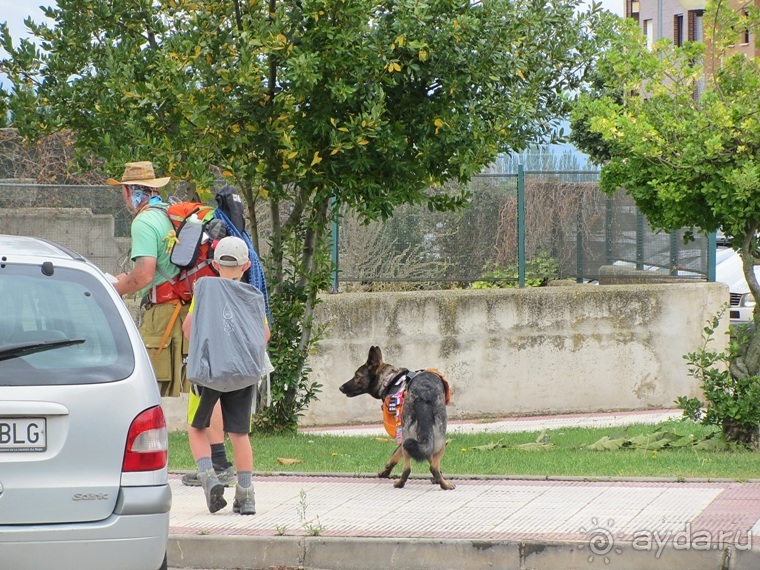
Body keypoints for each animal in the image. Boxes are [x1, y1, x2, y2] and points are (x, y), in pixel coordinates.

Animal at [340, 344, 454, 486]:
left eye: (357, 376)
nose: (340, 387)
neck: (388, 379)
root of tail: (424, 391)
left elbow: (395, 454)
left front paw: (385, 472)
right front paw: (437, 477)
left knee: (409, 467)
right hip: (439, 434)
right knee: (428, 464)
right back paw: (443, 484)